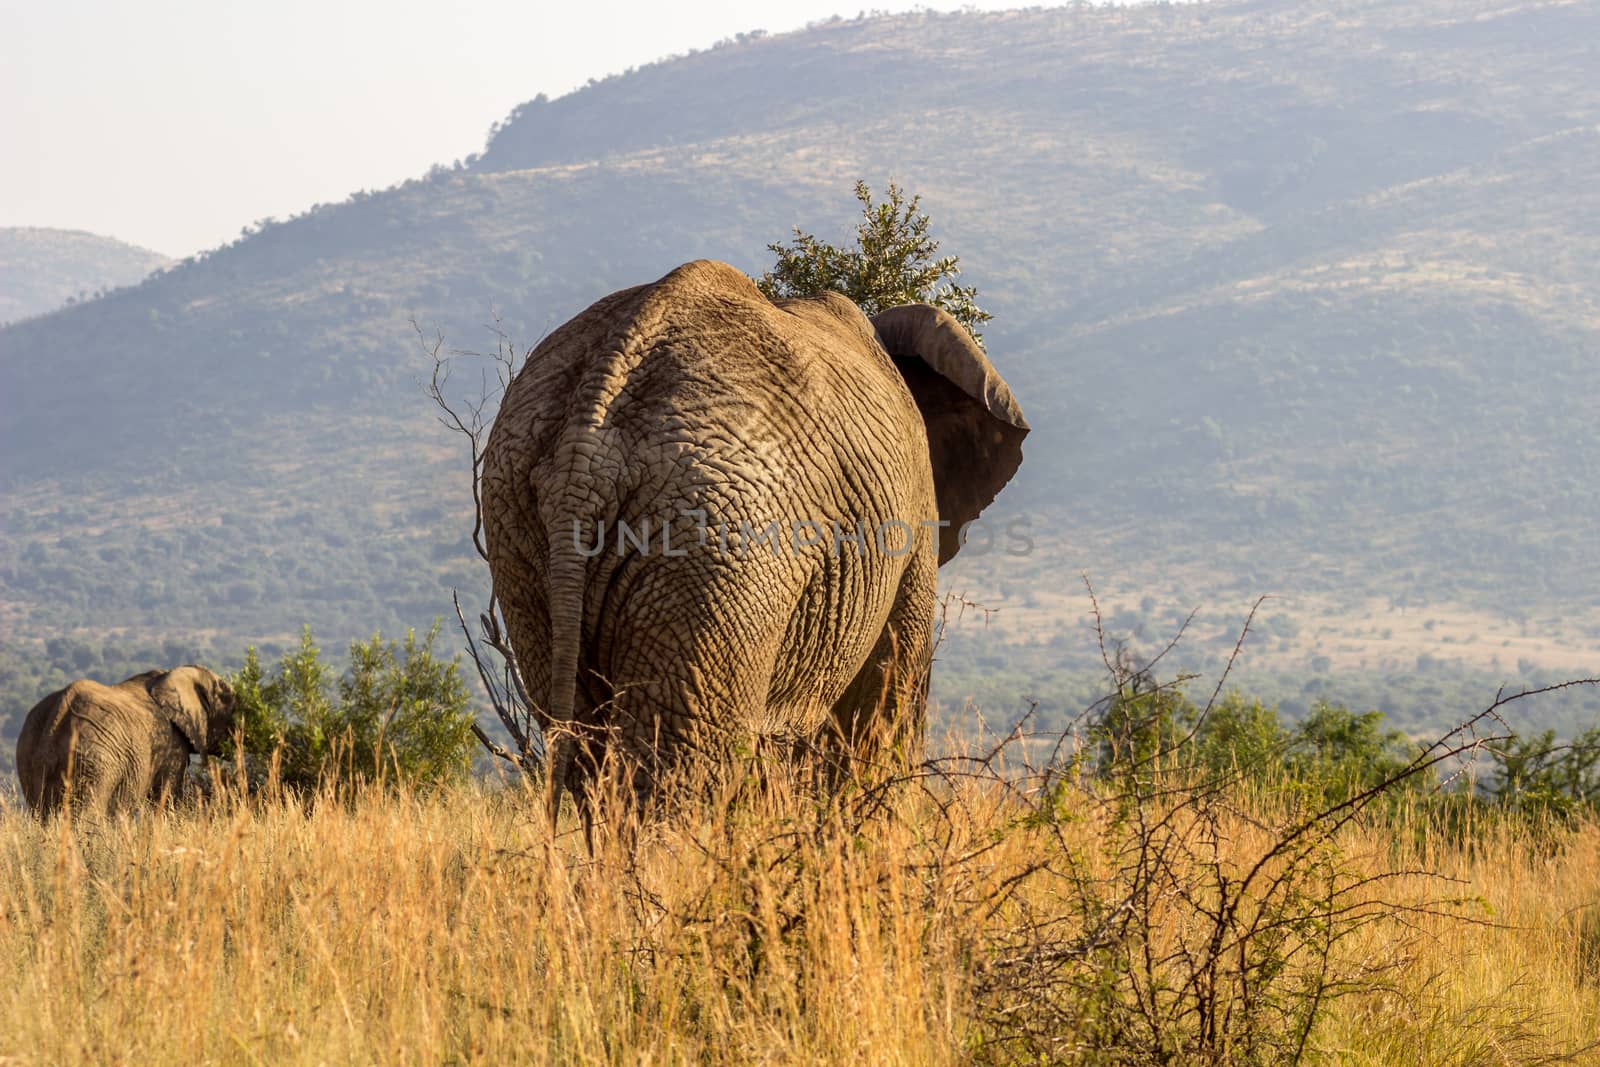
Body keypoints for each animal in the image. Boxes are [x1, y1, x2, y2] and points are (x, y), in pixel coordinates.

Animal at [15, 668, 236, 819]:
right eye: (227, 698)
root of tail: (57, 715)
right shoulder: (172, 744)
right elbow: (166, 798)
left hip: (28, 757)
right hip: (95, 761)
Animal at [483, 259, 1024, 819]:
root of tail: (586, 447)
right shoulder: (912, 512)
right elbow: (884, 697)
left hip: (519, 533)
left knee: (593, 751)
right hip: (716, 539)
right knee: (684, 763)